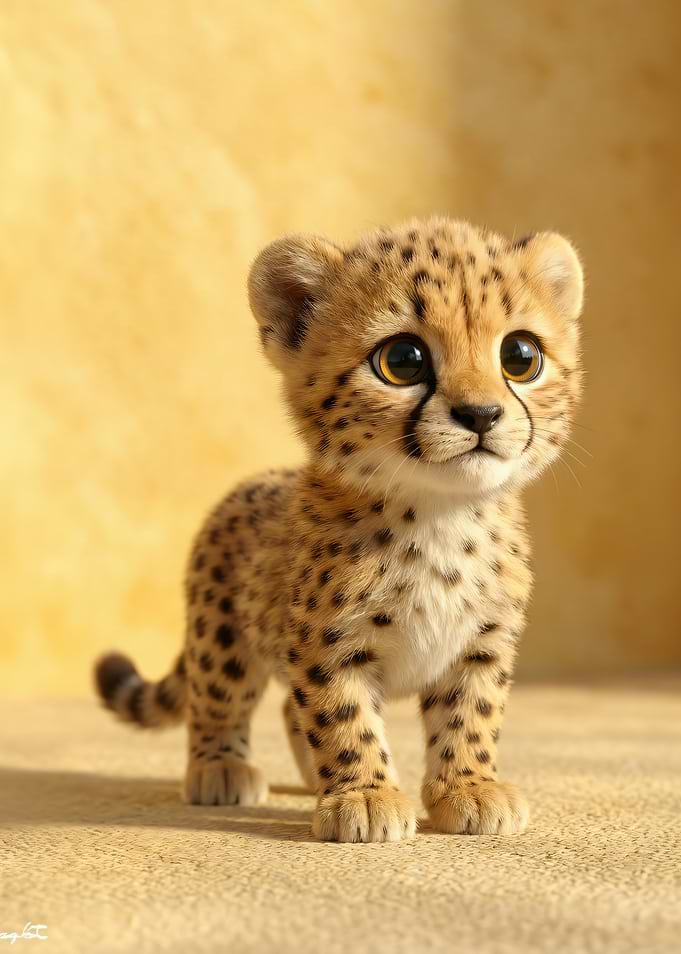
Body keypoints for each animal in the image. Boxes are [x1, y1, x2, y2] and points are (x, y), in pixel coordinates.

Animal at [94, 215, 584, 843]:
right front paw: (366, 796)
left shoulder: (481, 645)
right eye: (403, 359)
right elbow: (345, 718)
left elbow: (470, 716)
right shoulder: (328, 645)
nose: (480, 415)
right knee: (218, 698)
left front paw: (468, 787)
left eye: (521, 355)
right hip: (223, 637)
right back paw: (220, 768)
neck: (440, 514)